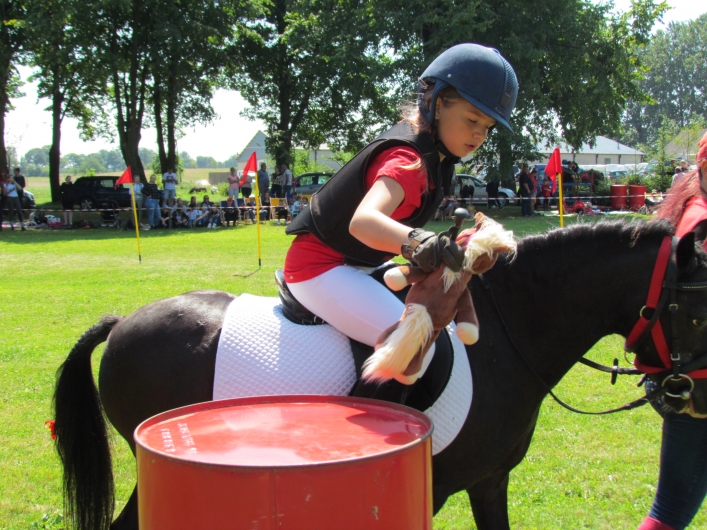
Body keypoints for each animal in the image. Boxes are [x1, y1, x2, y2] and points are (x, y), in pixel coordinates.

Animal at [52, 220, 707, 530]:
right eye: (699, 310)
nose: (693, 398)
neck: (509, 331)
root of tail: (122, 322)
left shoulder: (488, 481)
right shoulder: (435, 487)